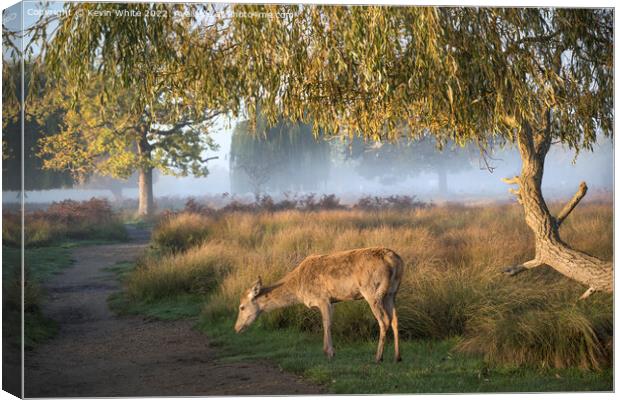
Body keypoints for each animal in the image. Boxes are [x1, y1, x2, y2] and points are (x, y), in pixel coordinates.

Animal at [235, 247, 404, 362]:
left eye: (242, 307)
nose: (236, 328)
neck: (299, 288)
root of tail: (395, 261)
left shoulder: (322, 298)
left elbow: (326, 323)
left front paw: (329, 352)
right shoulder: (332, 300)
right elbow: (328, 323)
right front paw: (330, 351)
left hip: (372, 290)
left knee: (384, 320)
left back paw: (378, 357)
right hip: (392, 292)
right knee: (395, 319)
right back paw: (397, 357)